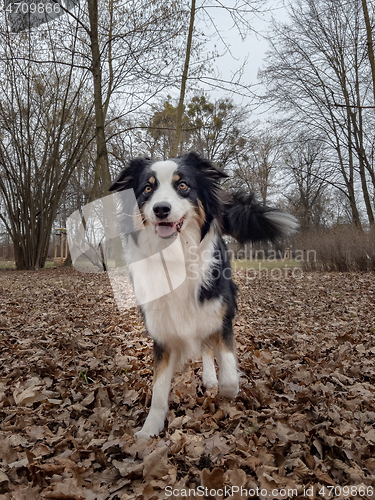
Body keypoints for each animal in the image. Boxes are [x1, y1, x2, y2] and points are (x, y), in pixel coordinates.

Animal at [109, 151, 300, 438]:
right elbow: (158, 389)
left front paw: (227, 392)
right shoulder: (162, 329)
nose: (161, 209)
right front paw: (149, 430)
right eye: (147, 189)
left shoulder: (220, 314)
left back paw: (212, 378)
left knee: (208, 347)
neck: (174, 255)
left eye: (182, 185)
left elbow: (229, 372)